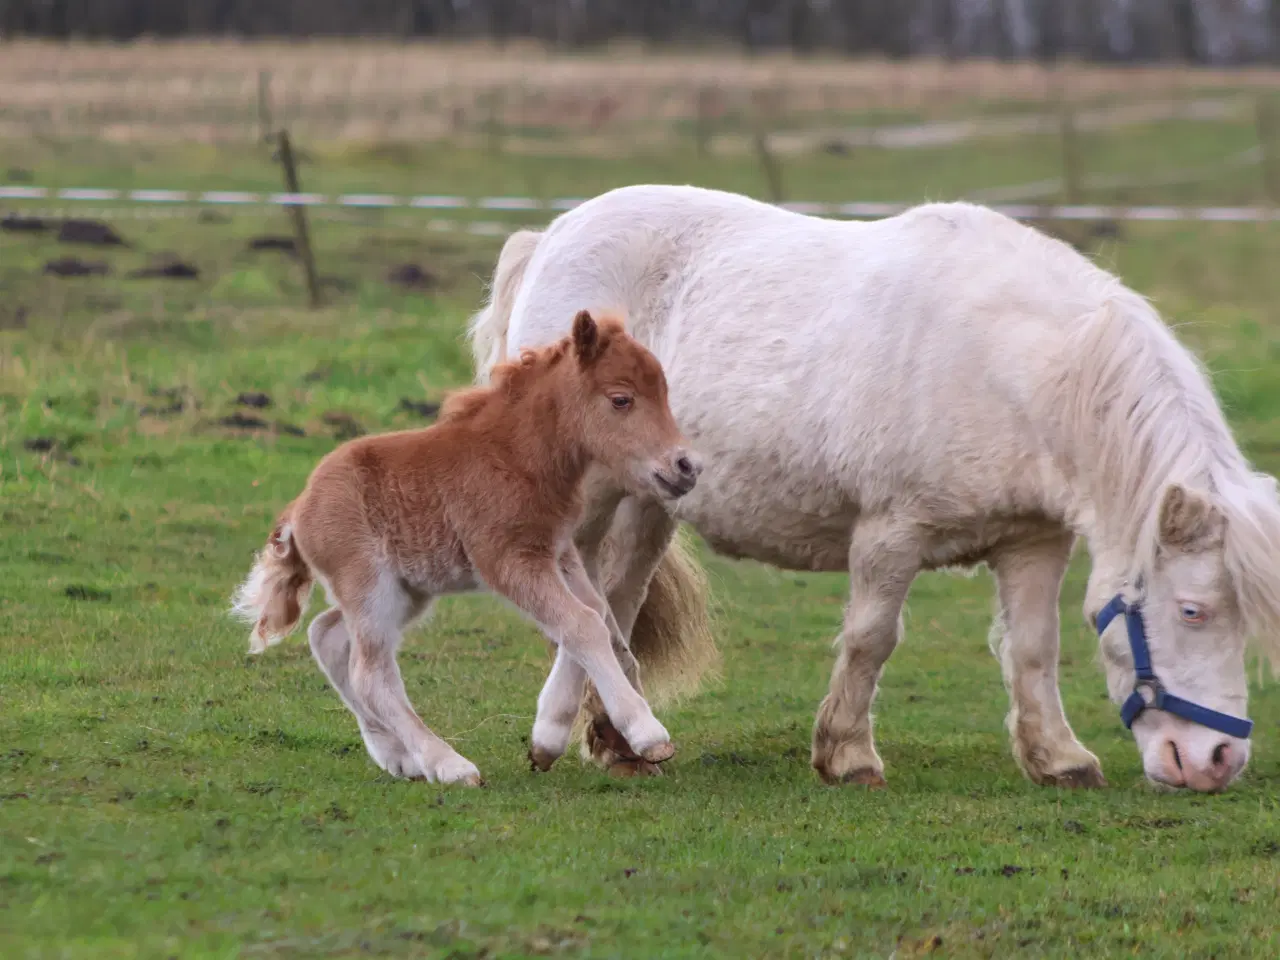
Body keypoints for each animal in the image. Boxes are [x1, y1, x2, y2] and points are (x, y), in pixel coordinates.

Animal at [235, 312, 706, 783]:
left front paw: (555, 735)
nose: (687, 466)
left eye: (664, 392)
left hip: (405, 591)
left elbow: (597, 615)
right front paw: (647, 733)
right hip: (370, 586)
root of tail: (300, 507)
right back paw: (449, 765)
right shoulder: (510, 560)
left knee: (329, 636)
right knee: (370, 675)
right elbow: (582, 624)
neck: (516, 455)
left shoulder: (560, 554)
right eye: (621, 399)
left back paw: (398, 756)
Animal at [468, 184, 1280, 793]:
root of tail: (553, 234)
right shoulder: (893, 532)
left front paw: (1058, 758)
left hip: (647, 503)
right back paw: (561, 734)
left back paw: (620, 741)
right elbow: (872, 638)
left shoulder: (1034, 541)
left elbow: (1034, 647)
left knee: (614, 602)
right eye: (1194, 610)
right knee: (579, 601)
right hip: (590, 501)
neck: (1011, 368)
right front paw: (848, 755)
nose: (1217, 763)